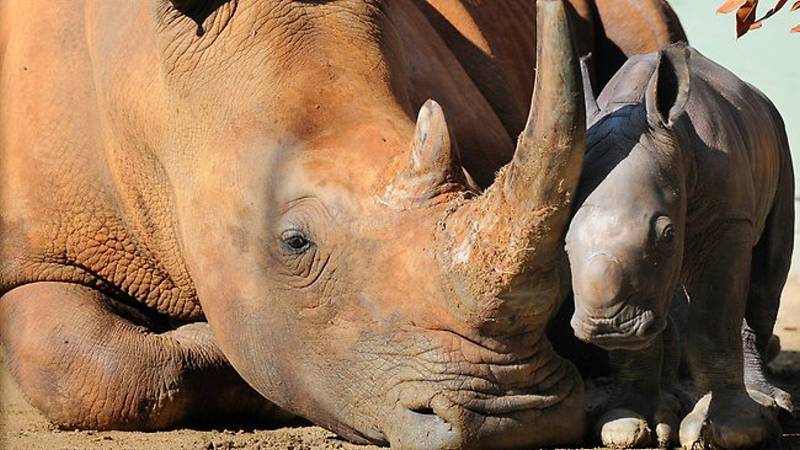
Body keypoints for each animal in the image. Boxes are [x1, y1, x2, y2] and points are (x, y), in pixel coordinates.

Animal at [568, 43, 792, 450]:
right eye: (563, 242)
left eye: (669, 234)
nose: (607, 326)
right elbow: (647, 306)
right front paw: (627, 424)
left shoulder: (727, 219)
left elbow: (713, 323)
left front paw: (733, 431)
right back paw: (672, 402)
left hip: (779, 140)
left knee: (767, 278)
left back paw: (770, 404)